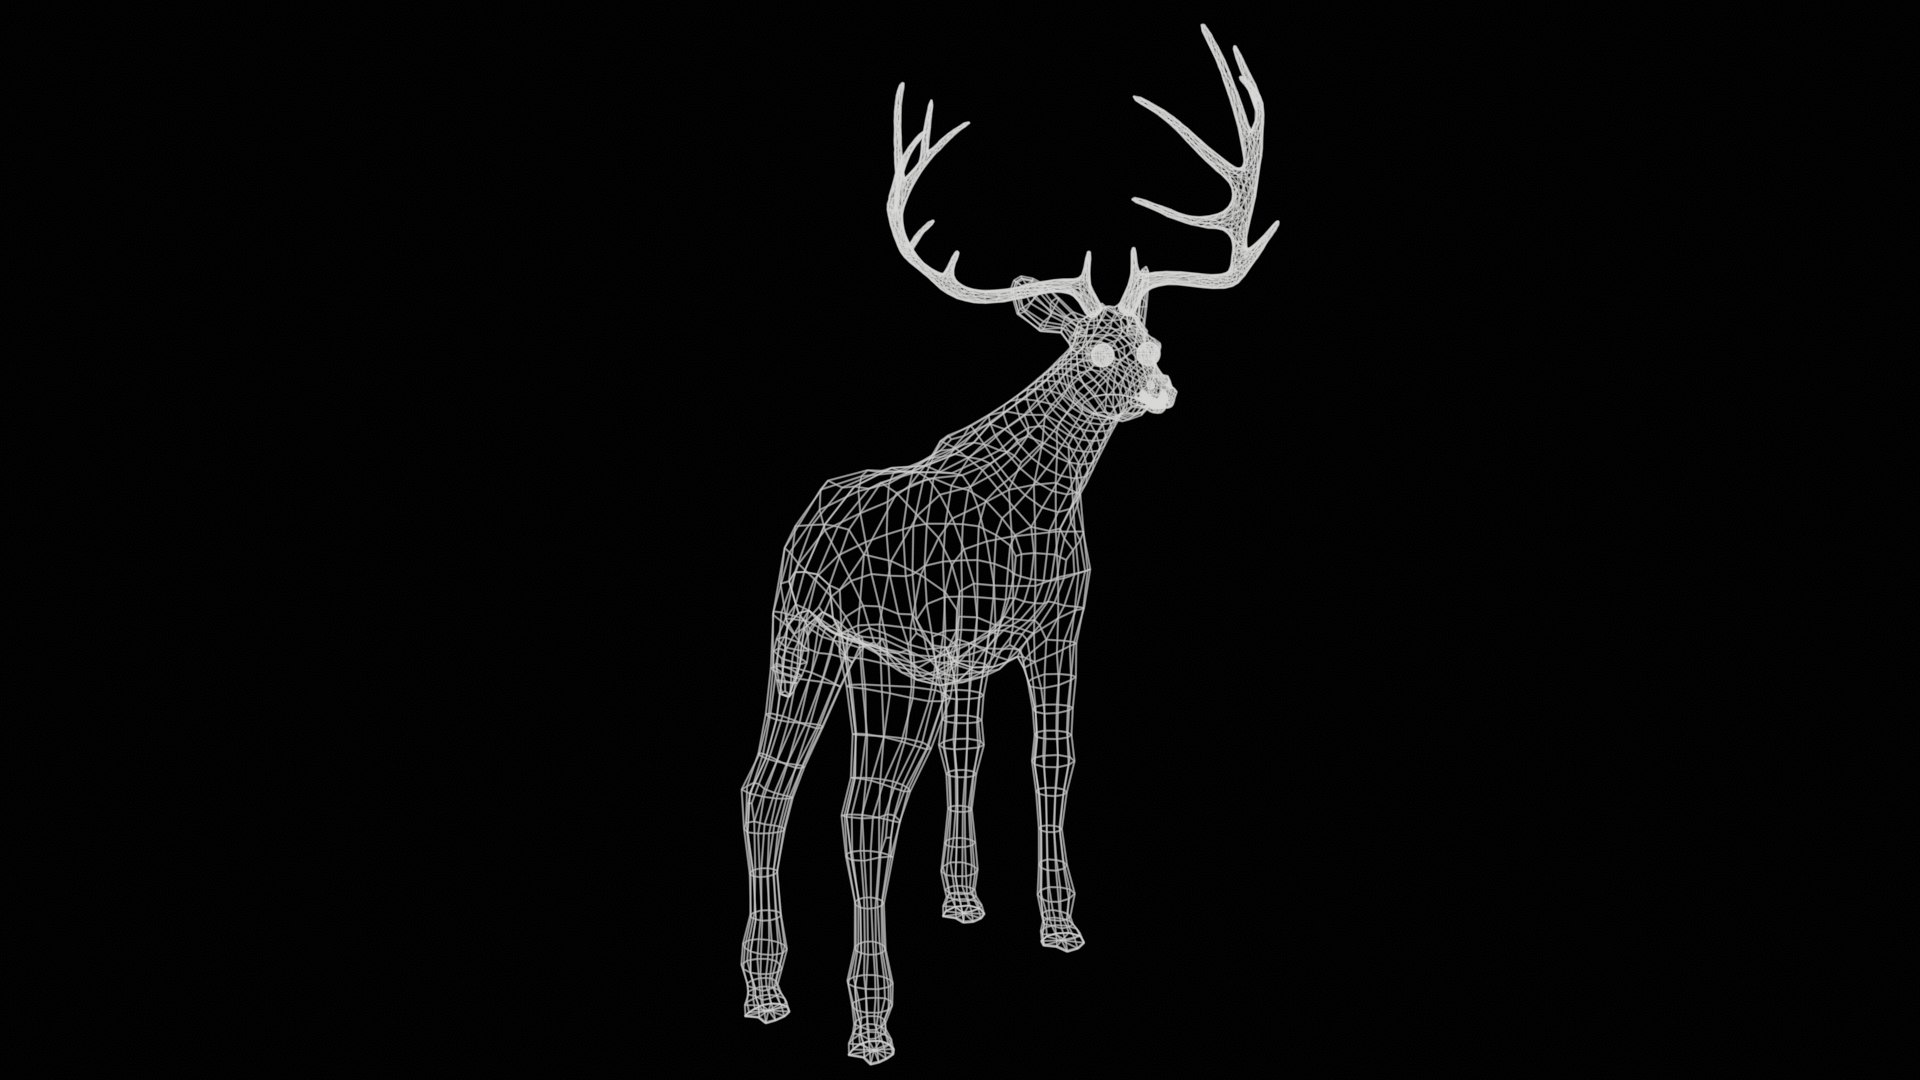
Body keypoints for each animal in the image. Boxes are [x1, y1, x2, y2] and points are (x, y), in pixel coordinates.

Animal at [738, 24, 1278, 1065]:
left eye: (1150, 339)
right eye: (1097, 351)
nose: (1167, 390)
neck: (1049, 493)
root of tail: (814, 553)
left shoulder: (977, 654)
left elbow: (982, 754)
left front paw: (968, 901)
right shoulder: (1050, 627)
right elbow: (1051, 761)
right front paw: (1061, 923)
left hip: (802, 646)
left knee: (764, 790)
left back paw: (764, 992)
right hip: (883, 657)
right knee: (862, 811)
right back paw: (870, 1024)